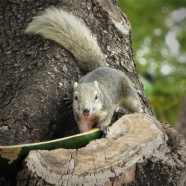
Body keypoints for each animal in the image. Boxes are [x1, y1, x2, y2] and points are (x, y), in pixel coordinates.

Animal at [25, 6, 142, 134]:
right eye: (76, 97)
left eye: (96, 97)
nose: (86, 110)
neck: (92, 114)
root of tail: (102, 67)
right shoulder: (81, 118)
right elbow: (84, 128)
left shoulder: (107, 107)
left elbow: (106, 118)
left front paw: (104, 127)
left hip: (129, 93)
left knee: (135, 105)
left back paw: (140, 113)